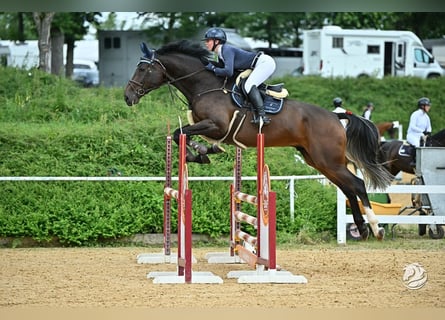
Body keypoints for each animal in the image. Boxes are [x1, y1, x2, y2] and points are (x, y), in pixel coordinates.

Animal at [124, 39, 392, 240]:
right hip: (319, 161)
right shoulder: (208, 127)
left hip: (329, 160)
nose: (128, 97)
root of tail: (336, 117)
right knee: (347, 188)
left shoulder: (216, 126)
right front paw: (203, 152)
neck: (203, 84)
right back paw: (362, 228)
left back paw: (375, 228)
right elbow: (183, 134)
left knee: (357, 185)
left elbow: (182, 133)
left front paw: (201, 152)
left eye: (142, 69)